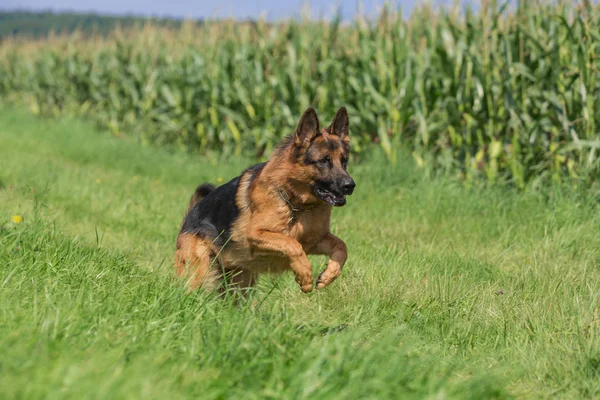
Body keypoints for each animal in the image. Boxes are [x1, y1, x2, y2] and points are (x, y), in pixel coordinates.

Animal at [173, 108, 354, 292]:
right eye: (323, 161)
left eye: (344, 160)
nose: (350, 185)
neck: (296, 205)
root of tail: (186, 222)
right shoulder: (255, 234)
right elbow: (291, 243)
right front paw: (305, 276)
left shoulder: (314, 241)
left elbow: (342, 246)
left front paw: (328, 276)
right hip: (202, 275)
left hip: (240, 285)